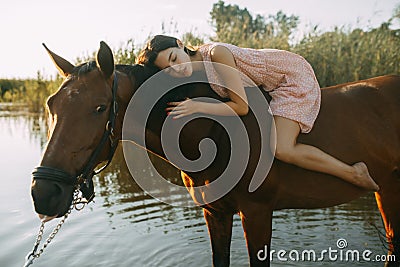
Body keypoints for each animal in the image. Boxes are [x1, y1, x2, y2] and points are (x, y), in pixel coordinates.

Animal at [29, 42, 398, 267]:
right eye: (51, 105)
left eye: (99, 107)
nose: (43, 193)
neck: (213, 132)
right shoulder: (215, 213)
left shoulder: (257, 213)